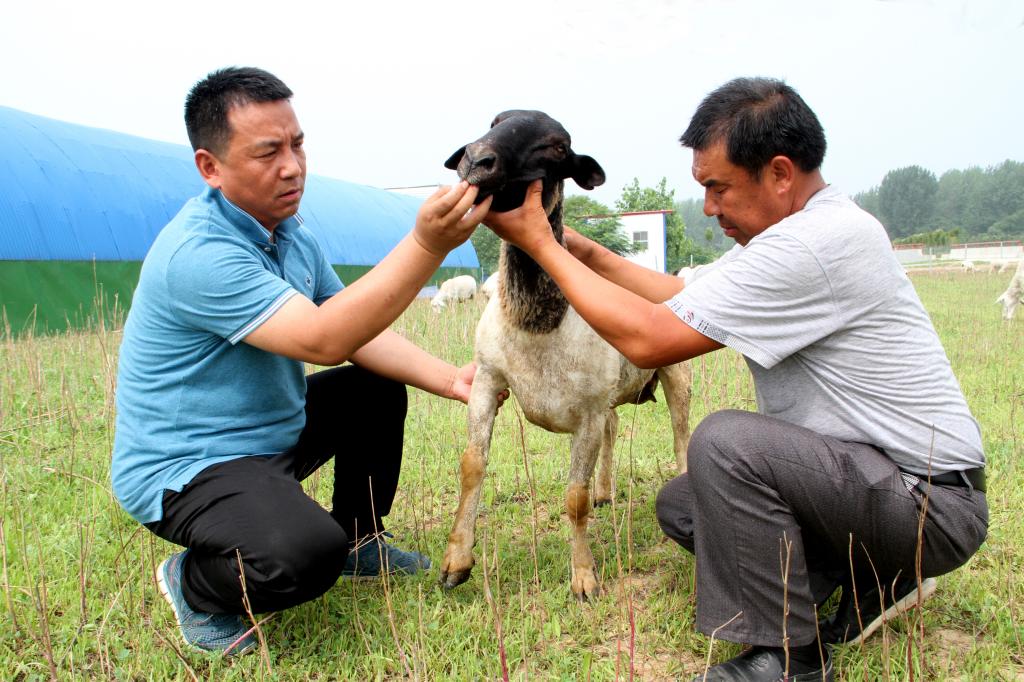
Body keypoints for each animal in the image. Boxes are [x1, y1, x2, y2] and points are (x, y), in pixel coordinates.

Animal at [436, 109, 692, 598]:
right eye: (495, 121)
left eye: (557, 146)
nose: (476, 160)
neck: (537, 321)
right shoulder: (487, 379)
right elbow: (471, 465)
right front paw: (456, 561)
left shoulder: (586, 413)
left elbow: (574, 498)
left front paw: (584, 578)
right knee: (615, 427)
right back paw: (606, 491)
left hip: (675, 373)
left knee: (680, 433)